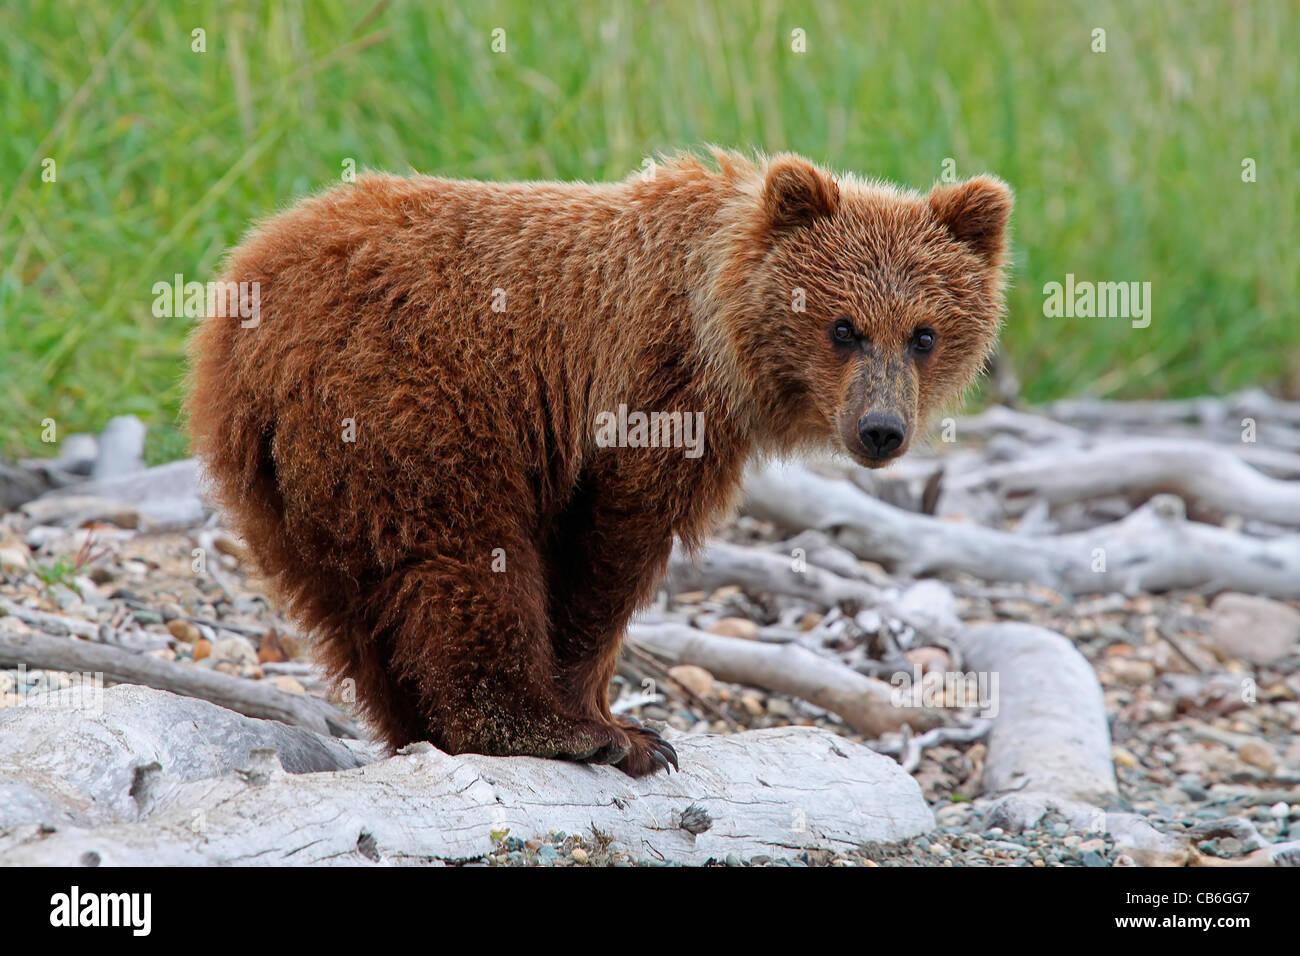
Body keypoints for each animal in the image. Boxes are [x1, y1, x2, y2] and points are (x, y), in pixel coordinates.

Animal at [188, 151, 1008, 780]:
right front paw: (622, 730)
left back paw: (418, 727)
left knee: (346, 601)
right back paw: (533, 729)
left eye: (924, 334)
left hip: (279, 470)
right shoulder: (648, 394)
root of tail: (249, 294)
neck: (722, 335)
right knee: (463, 551)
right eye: (844, 328)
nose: (882, 430)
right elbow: (606, 556)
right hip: (408, 396)